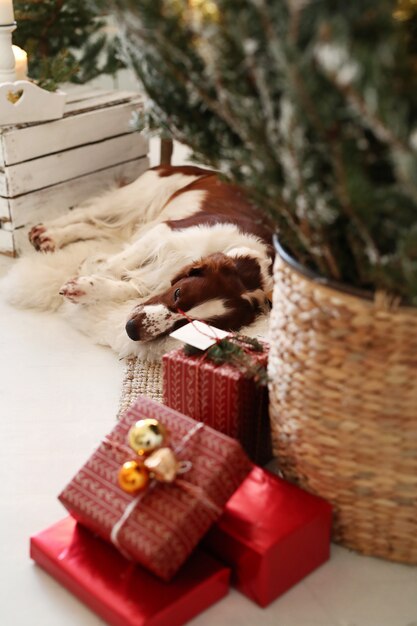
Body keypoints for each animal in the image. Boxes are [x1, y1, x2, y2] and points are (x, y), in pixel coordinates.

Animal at [1, 163, 274, 356]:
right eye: (178, 294)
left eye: (188, 327)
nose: (131, 330)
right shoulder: (166, 232)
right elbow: (116, 264)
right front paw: (85, 280)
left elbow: (127, 286)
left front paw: (88, 287)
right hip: (135, 197)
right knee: (85, 213)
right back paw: (48, 233)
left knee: (98, 228)